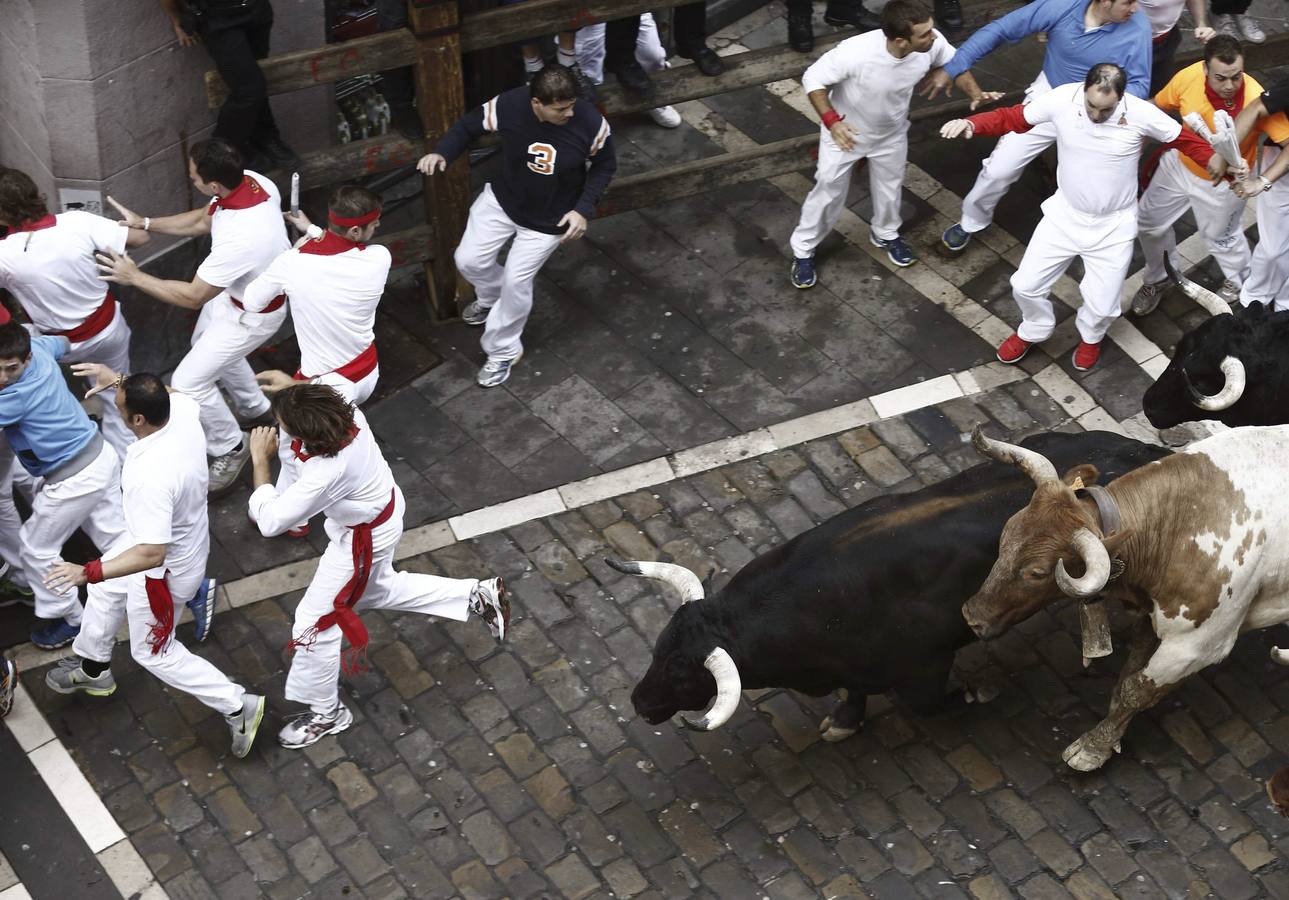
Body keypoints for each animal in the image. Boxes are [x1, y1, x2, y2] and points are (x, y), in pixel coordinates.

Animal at [613, 428, 1170, 737]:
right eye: (657, 652)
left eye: (684, 675)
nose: (640, 703)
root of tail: (1140, 448)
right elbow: (855, 693)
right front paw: (844, 721)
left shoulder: (925, 667)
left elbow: (928, 706)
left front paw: (980, 693)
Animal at [964, 422, 1289, 768]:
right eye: (1006, 534)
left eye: (1037, 573)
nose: (972, 616)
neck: (1187, 522)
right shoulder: (1151, 616)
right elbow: (1126, 677)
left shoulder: (1196, 646)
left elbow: (1137, 690)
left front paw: (1092, 747)